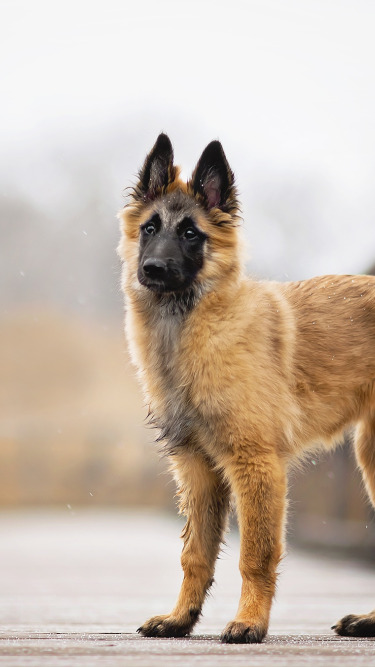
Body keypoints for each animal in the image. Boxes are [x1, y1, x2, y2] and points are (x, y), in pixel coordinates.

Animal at [118, 134, 375, 640]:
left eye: (191, 234)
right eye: (150, 228)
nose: (152, 269)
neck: (191, 327)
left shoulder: (255, 465)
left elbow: (254, 555)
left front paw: (249, 621)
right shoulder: (197, 469)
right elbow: (194, 555)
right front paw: (180, 618)